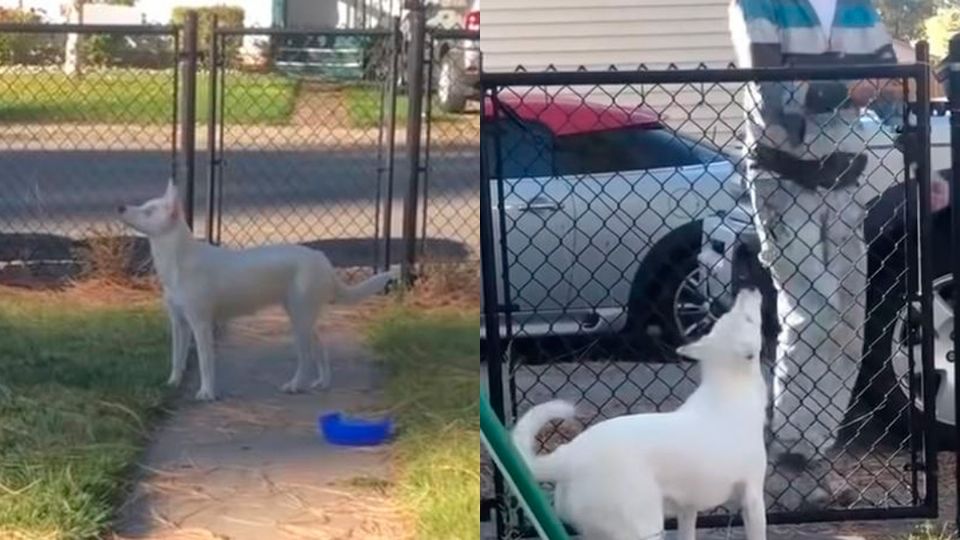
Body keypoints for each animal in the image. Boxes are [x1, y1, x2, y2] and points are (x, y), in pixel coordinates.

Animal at [121, 181, 398, 400]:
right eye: (145, 205)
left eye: (148, 211)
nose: (120, 208)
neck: (178, 259)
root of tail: (322, 260)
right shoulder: (179, 323)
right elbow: (177, 359)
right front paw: (172, 384)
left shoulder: (201, 324)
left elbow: (205, 362)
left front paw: (207, 393)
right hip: (304, 318)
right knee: (321, 349)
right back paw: (323, 382)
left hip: (299, 321)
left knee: (306, 357)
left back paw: (295, 385)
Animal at [512, 288, 768, 540]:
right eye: (748, 319)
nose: (747, 288)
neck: (731, 384)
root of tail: (568, 456)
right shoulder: (753, 499)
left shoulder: (688, 509)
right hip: (644, 528)